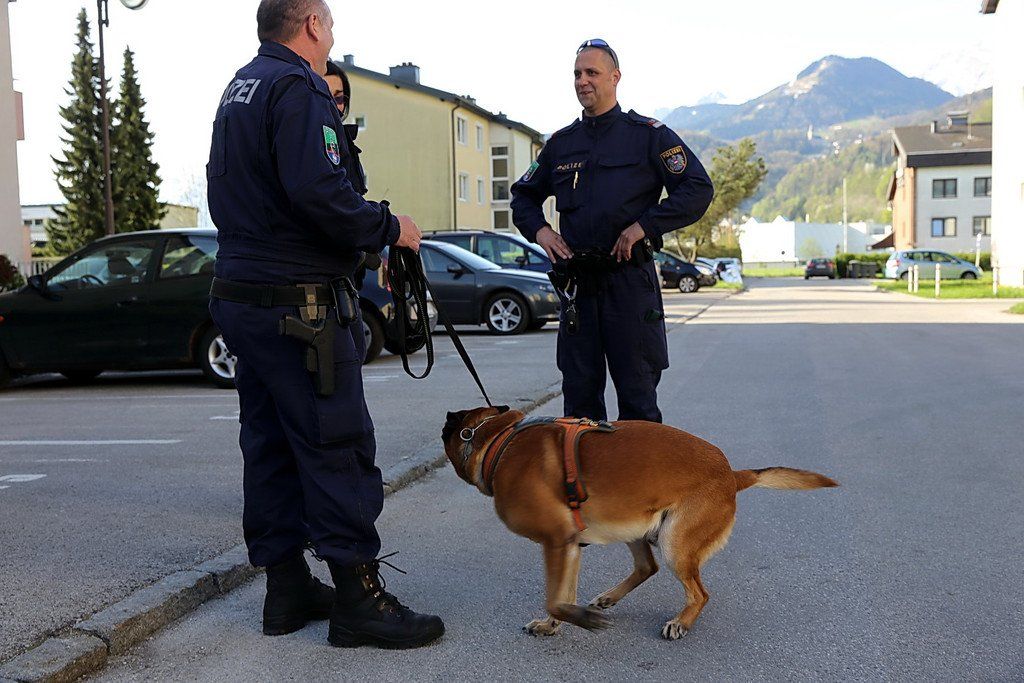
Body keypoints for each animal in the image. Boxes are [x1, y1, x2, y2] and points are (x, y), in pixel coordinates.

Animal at [442, 405, 838, 640]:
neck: (499, 440)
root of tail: (731, 474)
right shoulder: (567, 545)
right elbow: (561, 595)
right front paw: (558, 622)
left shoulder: (556, 541)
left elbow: (555, 598)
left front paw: (574, 619)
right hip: (633, 524)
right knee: (647, 567)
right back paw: (607, 599)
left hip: (675, 543)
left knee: (699, 592)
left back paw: (682, 621)